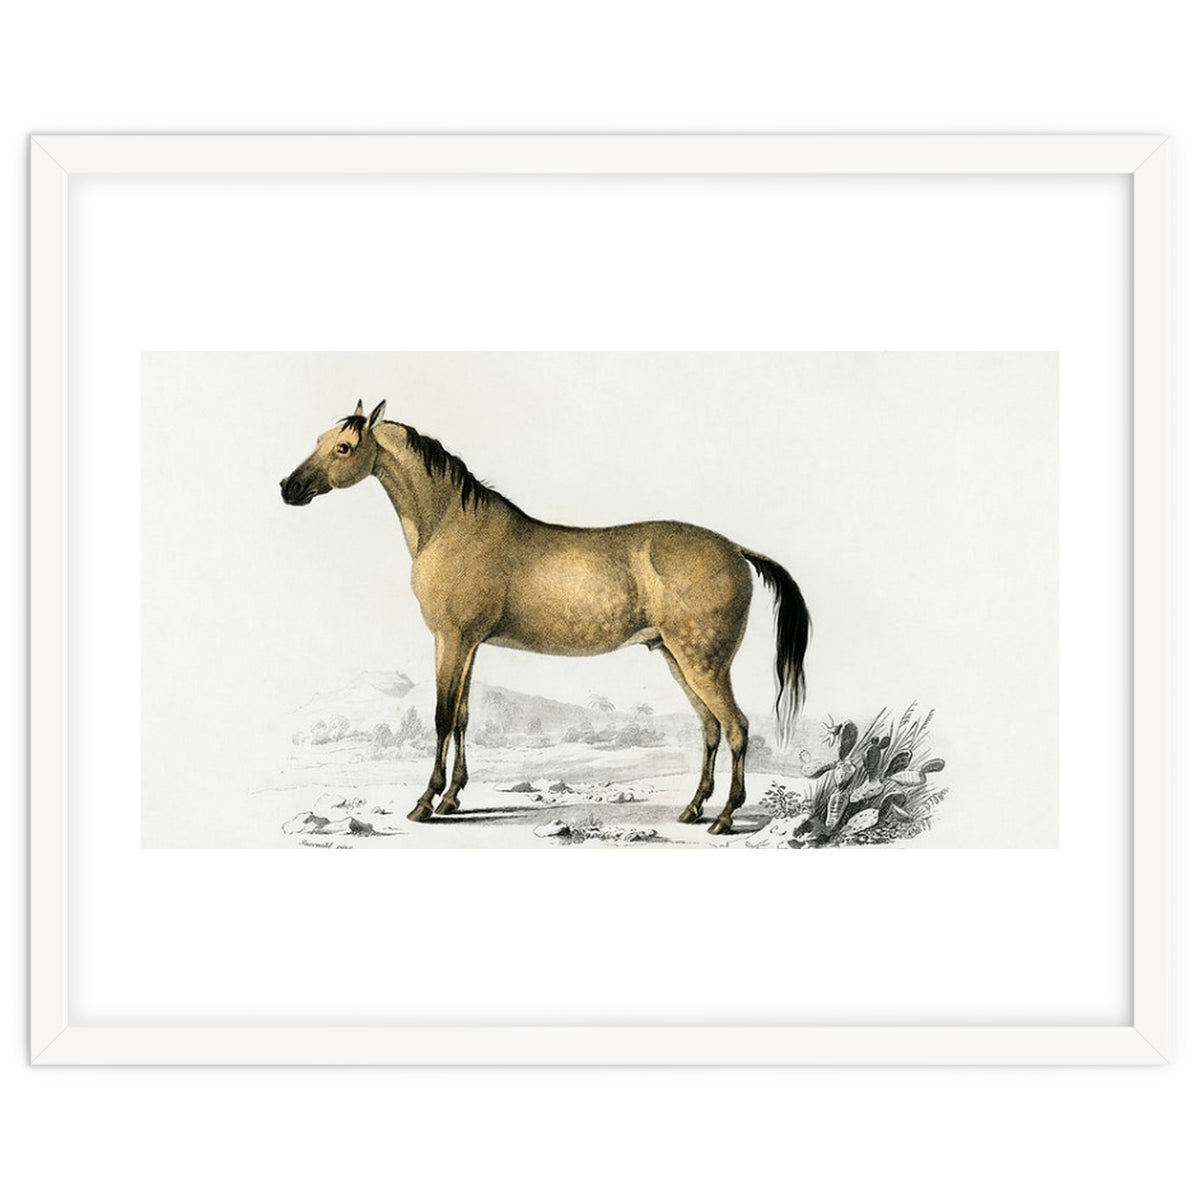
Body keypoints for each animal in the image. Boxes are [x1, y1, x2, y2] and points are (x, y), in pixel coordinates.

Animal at [280, 399, 811, 835]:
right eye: (319, 439)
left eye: (344, 447)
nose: (289, 488)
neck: (452, 525)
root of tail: (735, 549)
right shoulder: (468, 644)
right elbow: (463, 718)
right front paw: (453, 798)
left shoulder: (450, 639)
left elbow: (441, 717)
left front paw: (426, 802)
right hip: (677, 659)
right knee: (711, 728)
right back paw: (694, 809)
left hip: (703, 662)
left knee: (737, 726)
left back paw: (724, 817)